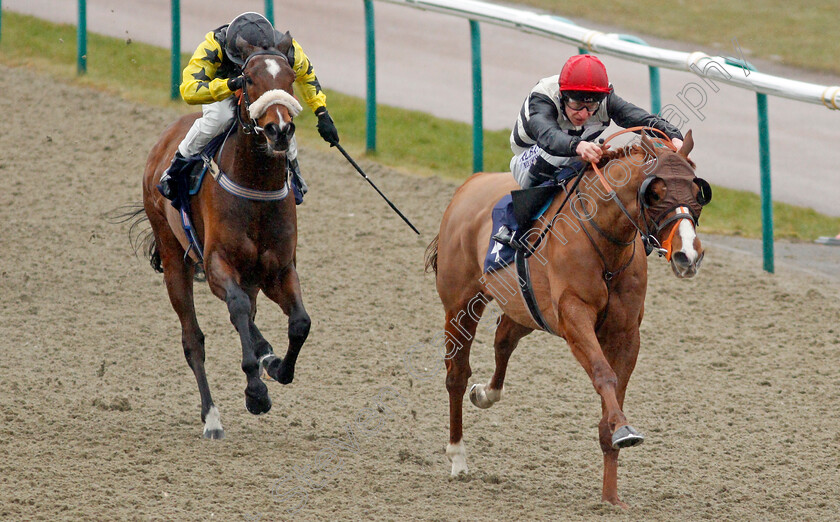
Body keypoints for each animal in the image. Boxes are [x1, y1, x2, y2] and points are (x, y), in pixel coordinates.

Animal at [141, 50, 308, 436]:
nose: (280, 130)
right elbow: (238, 310)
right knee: (194, 340)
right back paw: (212, 417)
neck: (256, 187)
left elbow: (300, 323)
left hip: (250, 276)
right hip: (174, 257)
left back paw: (266, 354)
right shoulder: (218, 264)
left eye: (291, 78)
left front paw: (277, 367)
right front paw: (256, 392)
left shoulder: (278, 270)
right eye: (248, 79)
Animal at [426, 131, 708, 508]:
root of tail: (470, 184)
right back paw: (457, 456)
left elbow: (614, 394)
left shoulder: (626, 333)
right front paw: (624, 430)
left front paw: (610, 495)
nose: (687, 255)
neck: (605, 240)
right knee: (457, 374)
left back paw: (486, 393)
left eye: (697, 191)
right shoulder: (575, 317)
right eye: (656, 192)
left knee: (504, 338)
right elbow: (603, 374)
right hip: (460, 305)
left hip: (524, 308)